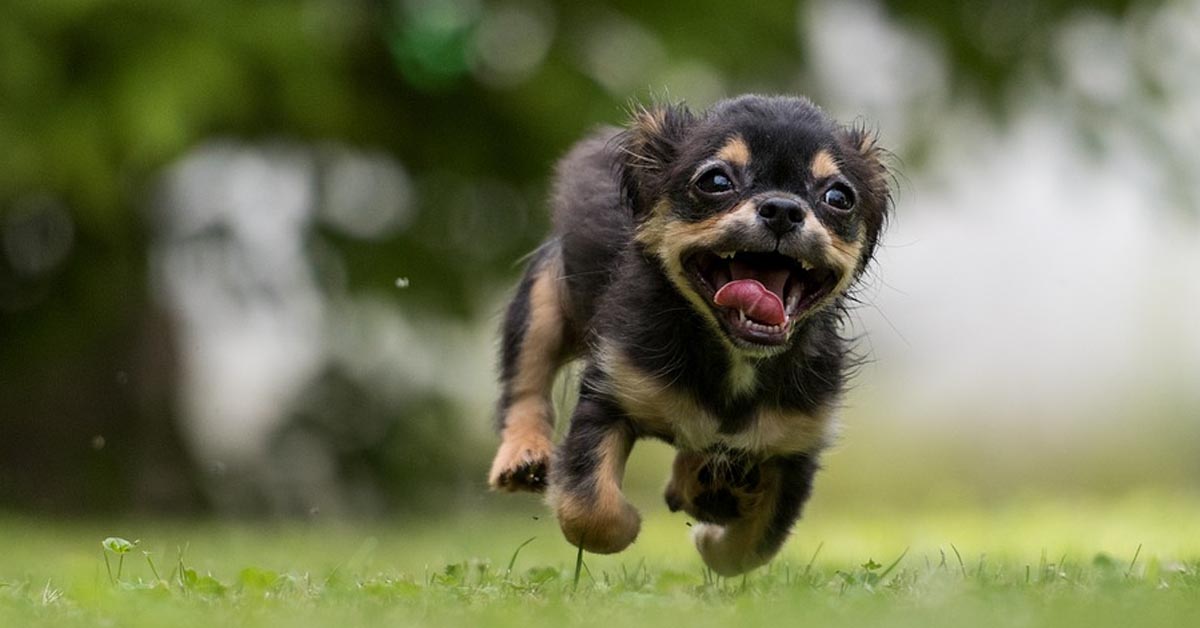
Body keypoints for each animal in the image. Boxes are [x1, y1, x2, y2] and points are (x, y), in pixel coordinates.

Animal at [487, 96, 892, 578]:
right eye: (715, 181)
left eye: (838, 197)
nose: (782, 208)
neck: (734, 356)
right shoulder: (609, 395)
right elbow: (589, 511)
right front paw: (629, 523)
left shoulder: (795, 446)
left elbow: (750, 548)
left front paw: (710, 536)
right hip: (543, 301)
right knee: (525, 382)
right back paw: (522, 455)